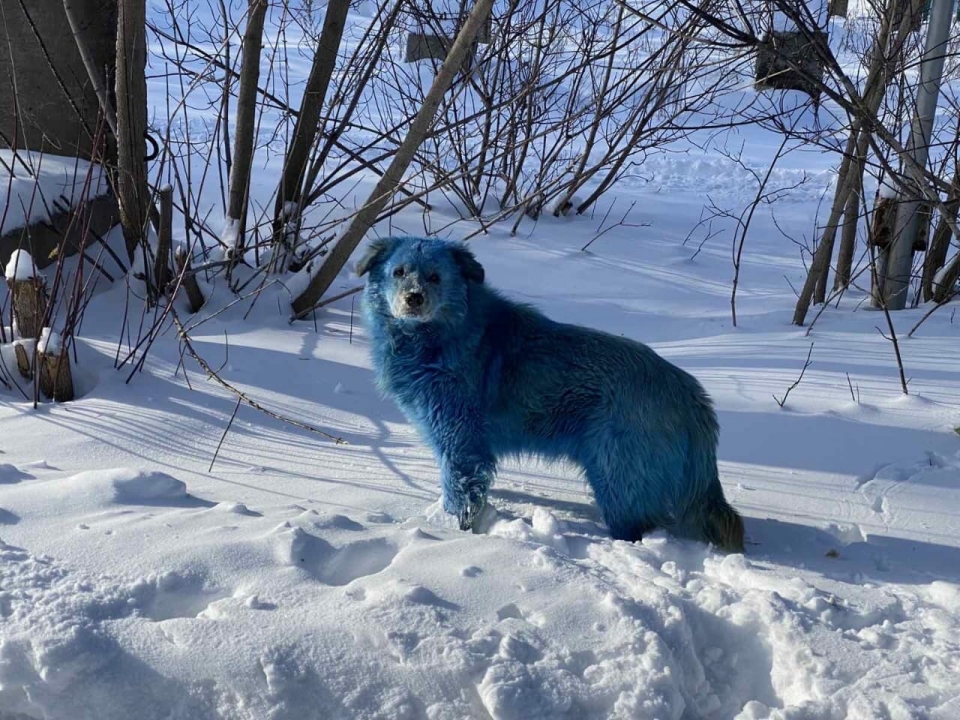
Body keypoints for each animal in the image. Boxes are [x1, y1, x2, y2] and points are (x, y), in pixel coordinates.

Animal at [356, 236, 748, 552]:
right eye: (399, 272)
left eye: (435, 276)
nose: (413, 299)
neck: (444, 335)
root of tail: (690, 394)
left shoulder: (460, 442)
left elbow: (461, 494)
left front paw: (453, 533)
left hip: (616, 477)